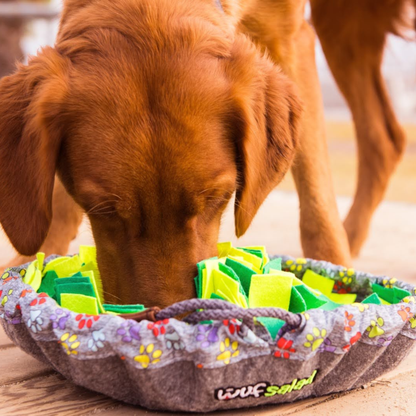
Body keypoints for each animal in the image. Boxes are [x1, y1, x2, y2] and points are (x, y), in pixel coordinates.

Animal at [0, 0, 412, 306]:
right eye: (102, 210)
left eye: (219, 198)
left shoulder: (290, 34)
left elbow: (317, 203)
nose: (164, 316)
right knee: (385, 139)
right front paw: (36, 257)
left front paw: (330, 270)